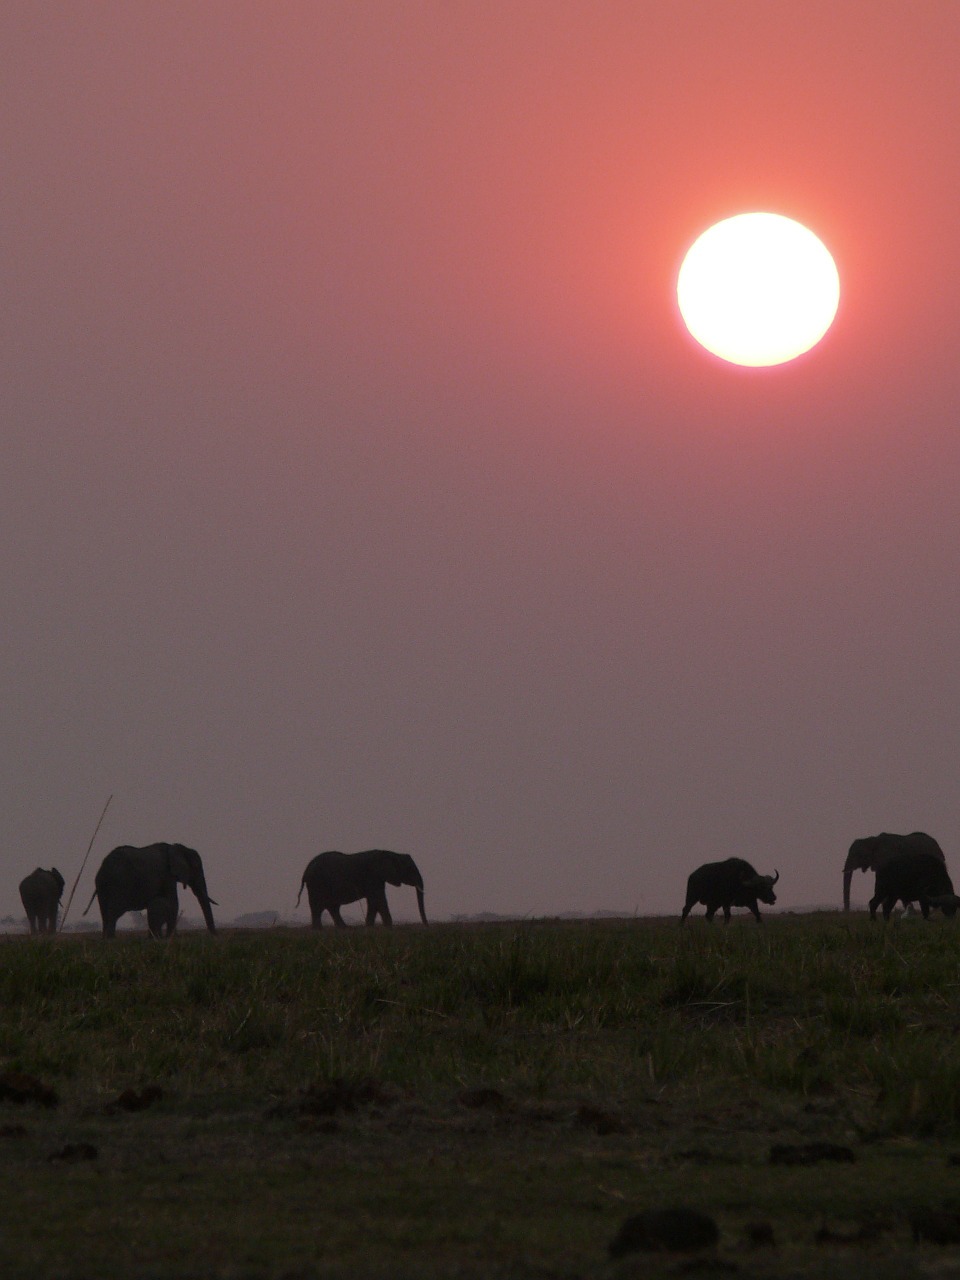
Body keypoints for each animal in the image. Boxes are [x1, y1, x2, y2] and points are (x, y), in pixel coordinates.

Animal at [83, 844, 217, 936]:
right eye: (196, 868)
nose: (213, 935)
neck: (175, 847)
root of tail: (103, 868)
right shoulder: (167, 874)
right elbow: (173, 902)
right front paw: (170, 938)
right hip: (117, 884)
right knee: (113, 914)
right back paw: (111, 940)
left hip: (103, 887)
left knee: (105, 914)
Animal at [295, 849, 427, 931]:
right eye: (410, 868)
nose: (426, 925)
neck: (391, 853)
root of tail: (305, 872)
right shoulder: (373, 877)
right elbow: (379, 900)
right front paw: (389, 928)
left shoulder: (377, 880)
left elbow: (374, 902)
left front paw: (369, 927)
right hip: (316, 884)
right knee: (319, 906)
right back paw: (319, 930)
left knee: (332, 907)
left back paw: (344, 928)